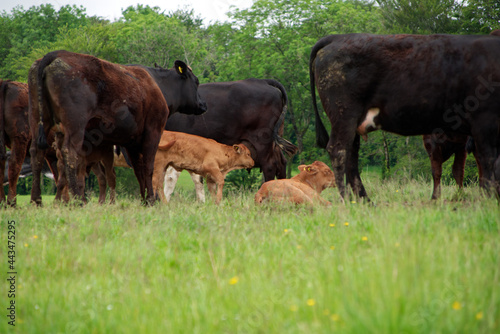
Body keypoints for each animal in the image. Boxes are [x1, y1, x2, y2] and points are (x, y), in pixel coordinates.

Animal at [29, 50, 206, 205]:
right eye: (196, 81)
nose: (203, 104)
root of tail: (56, 54)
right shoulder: (153, 131)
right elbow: (148, 167)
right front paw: (151, 200)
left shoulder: (132, 142)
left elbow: (138, 170)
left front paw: (144, 200)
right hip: (74, 124)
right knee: (70, 154)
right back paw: (77, 201)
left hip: (40, 119)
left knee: (37, 153)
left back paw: (37, 200)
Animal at [310, 33, 500, 201]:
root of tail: (338, 37)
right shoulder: (484, 124)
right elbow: (490, 163)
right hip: (344, 116)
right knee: (339, 151)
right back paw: (347, 199)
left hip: (353, 122)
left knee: (351, 157)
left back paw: (365, 201)